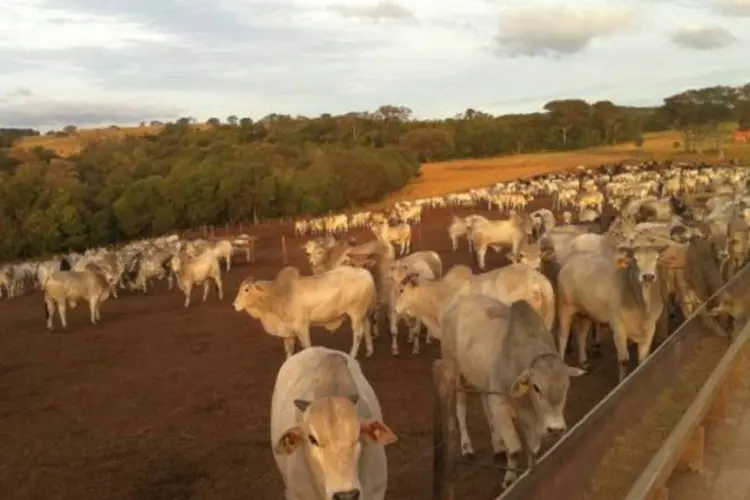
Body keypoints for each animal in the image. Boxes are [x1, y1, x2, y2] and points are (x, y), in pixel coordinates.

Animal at [440, 296, 588, 488]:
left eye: (566, 386)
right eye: (536, 387)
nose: (555, 429)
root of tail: (458, 302)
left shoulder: (529, 415)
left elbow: (533, 449)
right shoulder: (500, 404)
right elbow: (515, 449)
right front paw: (509, 479)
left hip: (482, 381)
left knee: (485, 405)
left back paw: (497, 446)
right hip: (455, 372)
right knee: (460, 408)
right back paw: (467, 447)